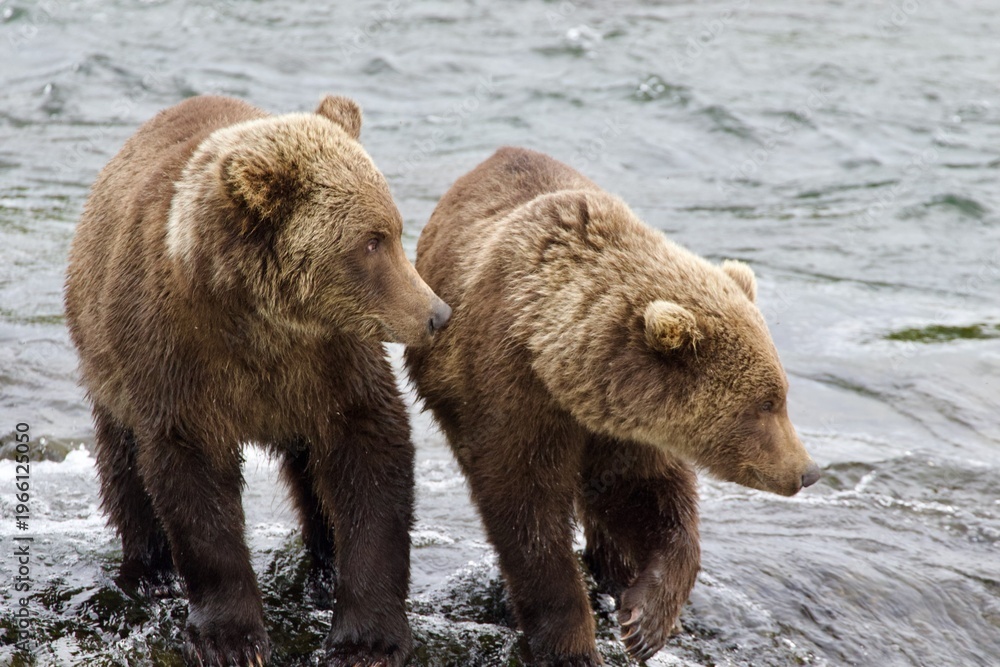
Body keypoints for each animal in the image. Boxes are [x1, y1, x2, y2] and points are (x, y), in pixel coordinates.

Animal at [64, 94, 451, 667]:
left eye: (396, 231)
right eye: (371, 241)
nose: (436, 313)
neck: (264, 322)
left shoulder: (333, 362)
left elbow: (369, 457)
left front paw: (367, 639)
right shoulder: (178, 355)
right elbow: (193, 480)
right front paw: (231, 638)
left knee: (313, 477)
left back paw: (322, 570)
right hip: (107, 365)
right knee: (123, 465)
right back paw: (149, 572)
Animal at [404, 147, 820, 666]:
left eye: (781, 395)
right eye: (766, 403)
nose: (808, 470)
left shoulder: (621, 428)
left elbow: (646, 497)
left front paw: (646, 619)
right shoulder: (512, 394)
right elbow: (527, 516)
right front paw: (572, 643)